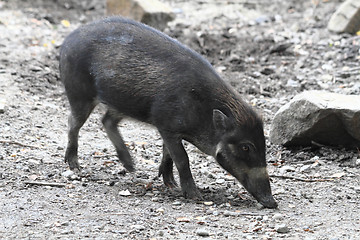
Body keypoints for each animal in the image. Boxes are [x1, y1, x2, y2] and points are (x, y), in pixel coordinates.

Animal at [59, 16, 278, 208]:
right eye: (246, 147)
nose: (272, 203)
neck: (203, 112)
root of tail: (67, 40)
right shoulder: (166, 125)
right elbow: (182, 158)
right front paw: (195, 196)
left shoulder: (167, 129)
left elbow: (168, 154)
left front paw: (171, 185)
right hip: (80, 93)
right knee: (73, 123)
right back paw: (76, 167)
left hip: (123, 103)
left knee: (106, 121)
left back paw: (131, 167)